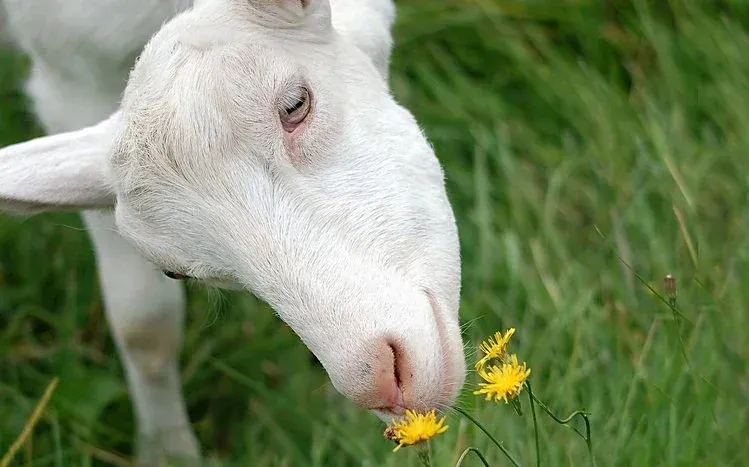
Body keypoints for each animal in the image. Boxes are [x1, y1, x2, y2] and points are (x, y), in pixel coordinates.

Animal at [0, 0, 465, 464]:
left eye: (295, 104)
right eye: (175, 272)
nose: (381, 382)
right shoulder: (71, 72)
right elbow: (143, 326)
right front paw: (168, 451)